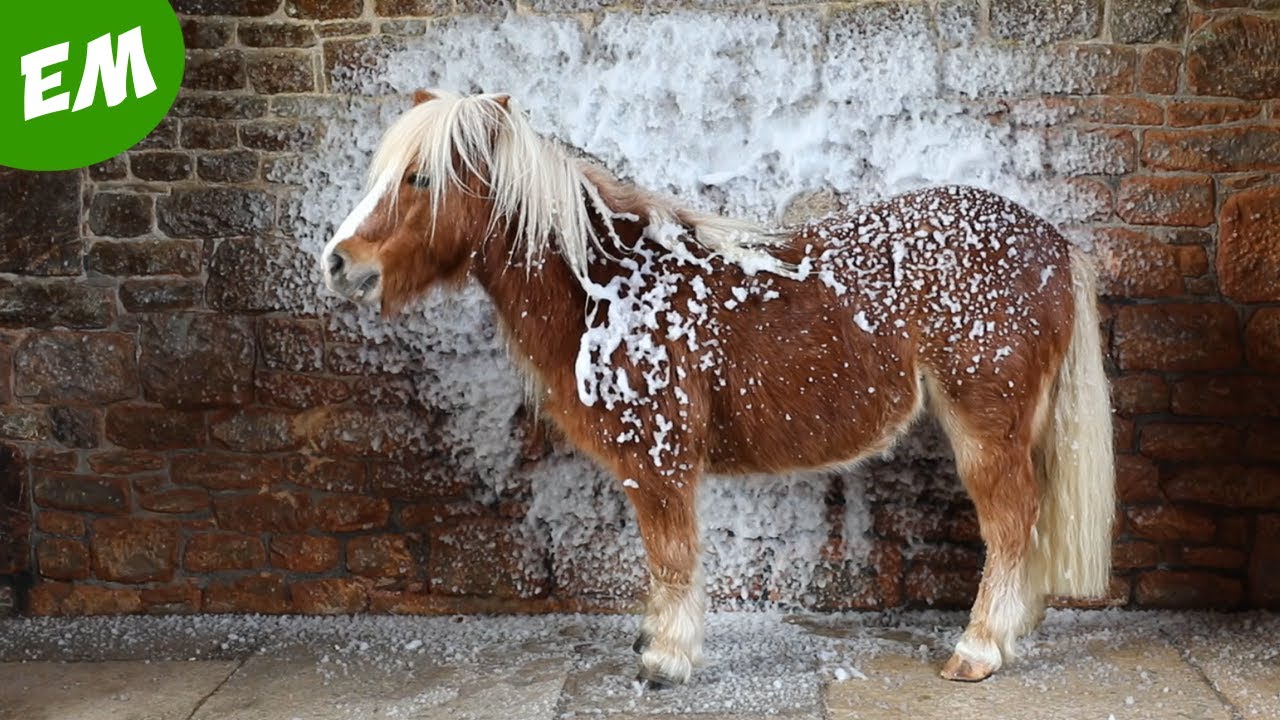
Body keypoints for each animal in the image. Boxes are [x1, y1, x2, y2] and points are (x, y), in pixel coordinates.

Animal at [321, 89, 1116, 688]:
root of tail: (1053, 243)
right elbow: (662, 561)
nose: (338, 262)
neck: (608, 282)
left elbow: (672, 556)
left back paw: (979, 649)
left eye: (421, 179)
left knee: (1010, 524)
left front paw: (667, 661)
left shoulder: (659, 459)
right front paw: (653, 642)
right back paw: (1014, 632)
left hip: (987, 427)